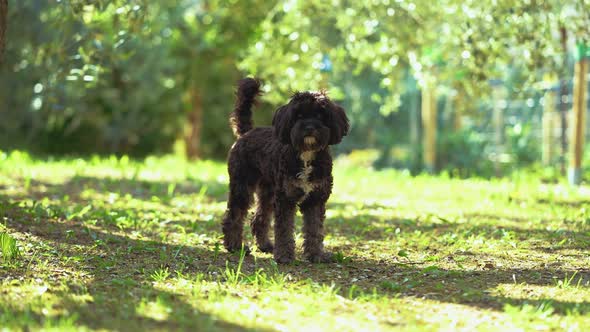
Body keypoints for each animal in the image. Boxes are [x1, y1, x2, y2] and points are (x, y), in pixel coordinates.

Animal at [223, 78, 352, 264]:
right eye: (298, 115)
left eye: (320, 115)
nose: (309, 127)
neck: (306, 154)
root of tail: (247, 132)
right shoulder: (285, 199)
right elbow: (284, 229)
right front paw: (284, 256)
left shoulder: (315, 200)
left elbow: (315, 229)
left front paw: (316, 255)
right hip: (242, 185)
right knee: (234, 215)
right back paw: (235, 246)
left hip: (268, 192)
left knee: (259, 219)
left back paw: (265, 245)